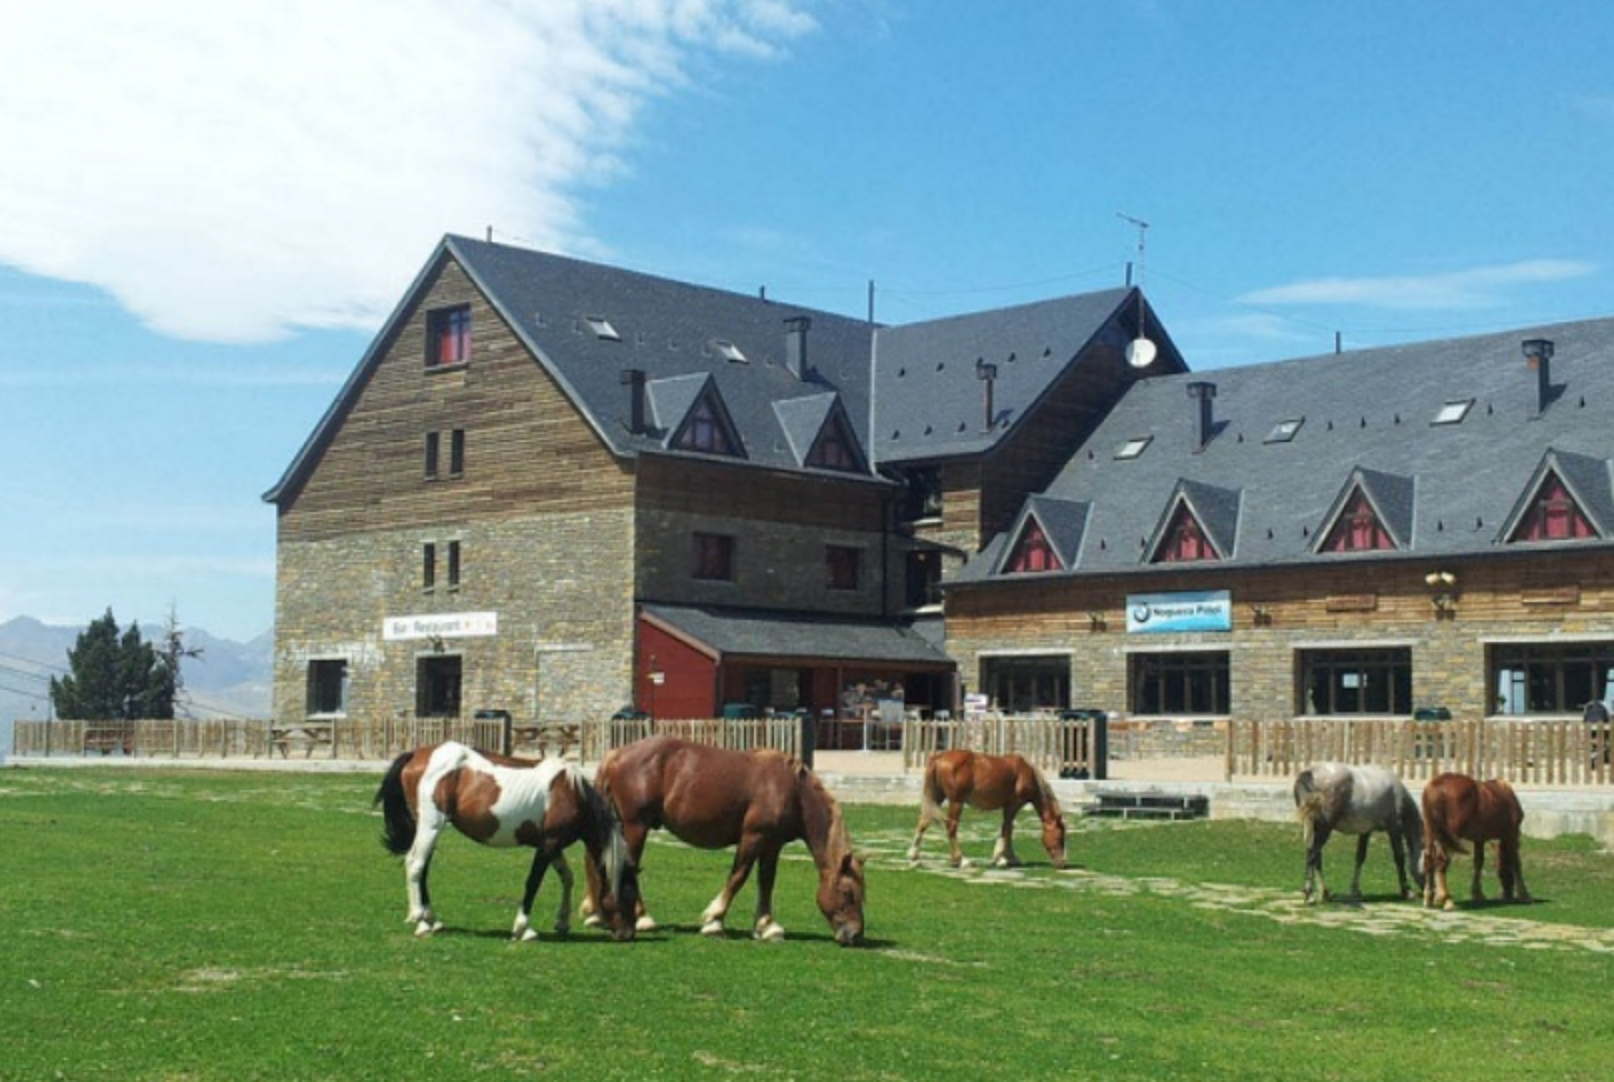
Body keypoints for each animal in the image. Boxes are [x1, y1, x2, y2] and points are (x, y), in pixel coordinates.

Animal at [372, 746, 635, 943]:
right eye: (628, 891)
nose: (628, 934)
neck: (571, 792)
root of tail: (417, 755)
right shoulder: (548, 845)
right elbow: (533, 883)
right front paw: (523, 928)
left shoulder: (553, 845)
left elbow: (567, 878)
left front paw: (562, 922)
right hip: (431, 826)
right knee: (415, 864)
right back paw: (420, 921)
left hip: (428, 829)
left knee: (422, 869)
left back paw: (431, 919)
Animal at [584, 736, 865, 949]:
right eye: (847, 893)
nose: (856, 934)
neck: (792, 791)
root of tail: (615, 754)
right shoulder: (753, 837)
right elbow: (738, 877)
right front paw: (714, 921)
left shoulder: (772, 845)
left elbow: (766, 882)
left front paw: (767, 925)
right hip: (635, 826)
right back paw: (642, 918)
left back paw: (598, 913)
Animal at [916, 755, 1065, 872]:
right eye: (1059, 837)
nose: (1062, 863)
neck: (1026, 772)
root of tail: (939, 757)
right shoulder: (1014, 805)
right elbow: (1007, 829)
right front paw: (1003, 858)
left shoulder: (1009, 807)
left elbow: (1008, 829)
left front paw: (1008, 857)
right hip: (956, 802)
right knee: (951, 827)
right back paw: (962, 861)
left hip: (937, 798)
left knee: (924, 821)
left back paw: (914, 855)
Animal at [1284, 762, 1426, 904]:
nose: (1426, 892)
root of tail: (1310, 772)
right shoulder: (1394, 828)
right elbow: (1399, 857)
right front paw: (1407, 891)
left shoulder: (1365, 832)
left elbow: (1360, 857)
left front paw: (1355, 890)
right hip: (1325, 828)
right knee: (1312, 854)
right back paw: (1309, 894)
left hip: (1313, 827)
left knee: (1316, 856)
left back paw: (1324, 892)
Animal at [1420, 771, 1530, 917]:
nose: (1507, 894)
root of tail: (1436, 786)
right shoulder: (1511, 834)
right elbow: (1516, 863)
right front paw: (1524, 894)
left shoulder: (1479, 839)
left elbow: (1478, 863)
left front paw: (1477, 894)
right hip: (1450, 837)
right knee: (1441, 862)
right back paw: (1446, 899)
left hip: (1431, 832)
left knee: (1428, 859)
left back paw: (1428, 897)